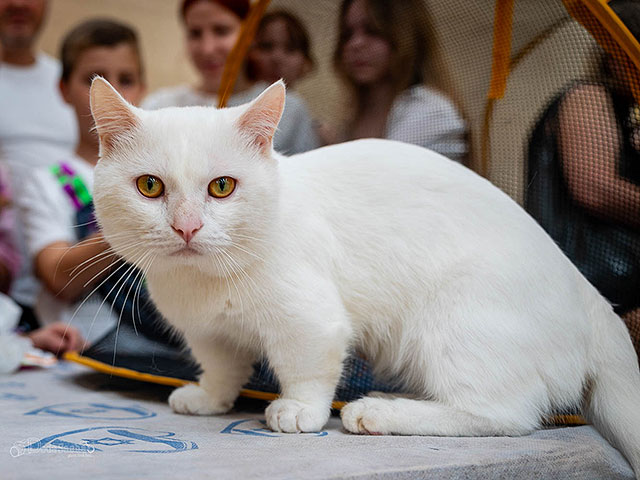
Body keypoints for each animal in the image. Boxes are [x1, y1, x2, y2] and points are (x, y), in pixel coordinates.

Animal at [90, 79, 640, 476]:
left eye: (222, 187)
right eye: (149, 186)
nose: (187, 227)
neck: (202, 284)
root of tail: (591, 296)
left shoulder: (311, 322)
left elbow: (306, 370)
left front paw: (298, 411)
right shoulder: (207, 332)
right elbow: (223, 365)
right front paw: (209, 397)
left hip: (454, 322)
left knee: (505, 416)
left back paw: (376, 412)